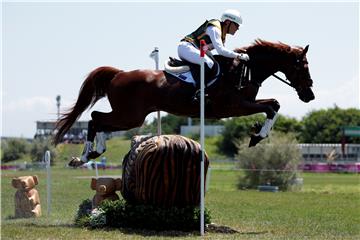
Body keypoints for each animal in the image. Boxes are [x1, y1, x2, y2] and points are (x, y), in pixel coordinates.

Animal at [53, 39, 316, 167]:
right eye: (303, 67)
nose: (310, 95)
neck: (245, 69)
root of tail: (119, 74)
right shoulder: (235, 106)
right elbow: (271, 107)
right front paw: (257, 136)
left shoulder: (246, 103)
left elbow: (275, 104)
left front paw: (257, 134)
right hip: (130, 116)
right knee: (96, 119)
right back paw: (85, 156)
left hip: (129, 116)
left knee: (100, 121)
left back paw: (95, 151)